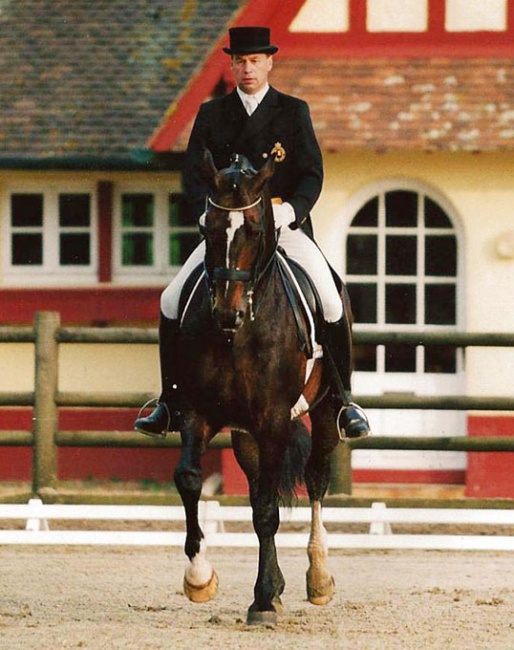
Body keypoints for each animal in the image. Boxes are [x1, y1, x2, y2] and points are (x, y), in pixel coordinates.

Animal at [174, 151, 346, 624]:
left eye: (253, 229)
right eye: (208, 229)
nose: (226, 313)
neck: (240, 334)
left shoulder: (273, 419)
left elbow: (270, 508)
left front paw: (265, 599)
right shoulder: (197, 412)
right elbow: (191, 479)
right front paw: (199, 577)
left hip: (324, 411)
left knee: (316, 477)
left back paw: (318, 577)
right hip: (245, 433)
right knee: (255, 491)